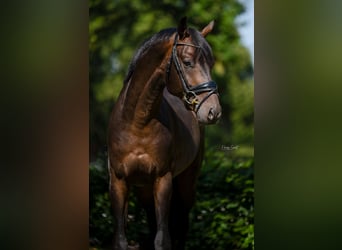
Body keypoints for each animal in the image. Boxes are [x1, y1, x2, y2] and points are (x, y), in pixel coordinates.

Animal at [108, 17, 223, 250]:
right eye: (187, 62)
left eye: (211, 64)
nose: (213, 111)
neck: (137, 122)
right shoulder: (118, 181)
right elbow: (121, 240)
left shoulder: (163, 180)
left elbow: (163, 240)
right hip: (144, 190)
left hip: (186, 184)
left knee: (181, 228)